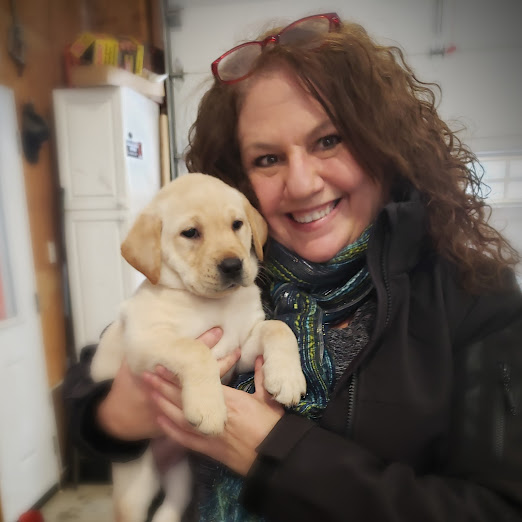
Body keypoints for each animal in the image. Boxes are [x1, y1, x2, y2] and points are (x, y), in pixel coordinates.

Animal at [90, 173, 306, 522]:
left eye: (237, 224)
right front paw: (209, 408)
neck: (212, 303)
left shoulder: (242, 347)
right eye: (191, 233)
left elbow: (278, 328)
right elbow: (195, 350)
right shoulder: (145, 341)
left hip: (181, 475)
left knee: (171, 507)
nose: (233, 265)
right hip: (134, 487)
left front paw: (287, 377)